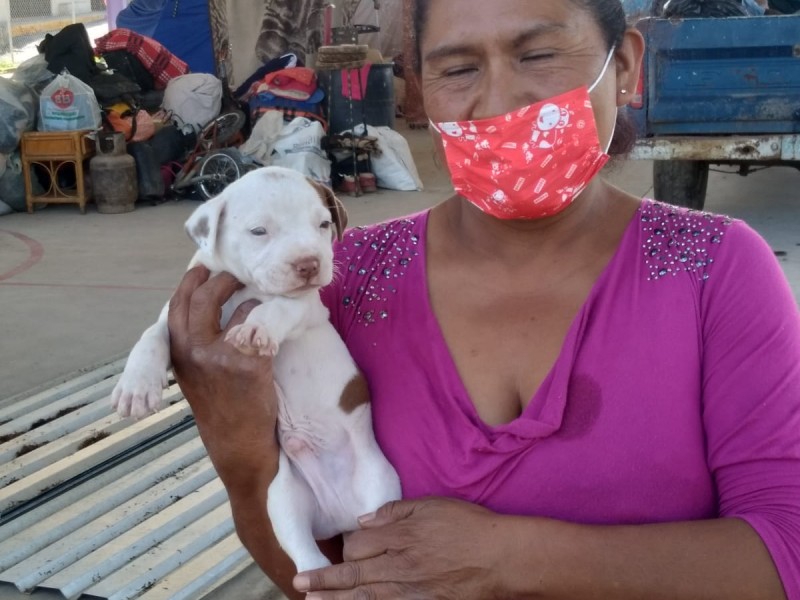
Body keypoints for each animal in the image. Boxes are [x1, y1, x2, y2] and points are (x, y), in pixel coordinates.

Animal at [110, 165, 404, 572]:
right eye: (258, 231)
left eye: (323, 224)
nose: (309, 264)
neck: (245, 286)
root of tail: (339, 516)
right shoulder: (175, 312)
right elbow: (151, 337)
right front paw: (136, 387)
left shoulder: (308, 306)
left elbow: (282, 305)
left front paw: (256, 326)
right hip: (282, 499)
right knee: (306, 558)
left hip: (380, 492)